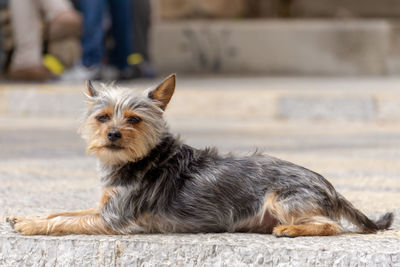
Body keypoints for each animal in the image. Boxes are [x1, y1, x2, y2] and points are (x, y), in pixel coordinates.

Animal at [6, 74, 394, 238]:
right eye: (102, 118)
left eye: (134, 120)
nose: (112, 134)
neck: (140, 158)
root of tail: (331, 188)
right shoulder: (104, 207)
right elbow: (64, 211)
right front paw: (26, 215)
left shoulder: (112, 219)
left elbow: (65, 220)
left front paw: (31, 225)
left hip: (281, 198)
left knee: (329, 225)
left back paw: (291, 230)